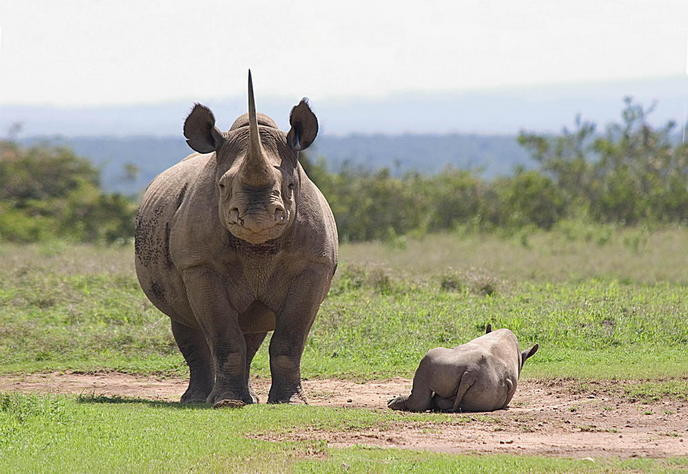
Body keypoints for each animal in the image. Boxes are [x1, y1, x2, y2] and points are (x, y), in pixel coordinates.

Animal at [134, 71, 337, 408]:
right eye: (221, 185)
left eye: (291, 185)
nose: (258, 216)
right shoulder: (200, 266)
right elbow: (223, 336)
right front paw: (227, 403)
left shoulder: (313, 266)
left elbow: (289, 341)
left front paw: (290, 402)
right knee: (186, 323)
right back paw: (197, 399)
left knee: (251, 329)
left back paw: (247, 397)